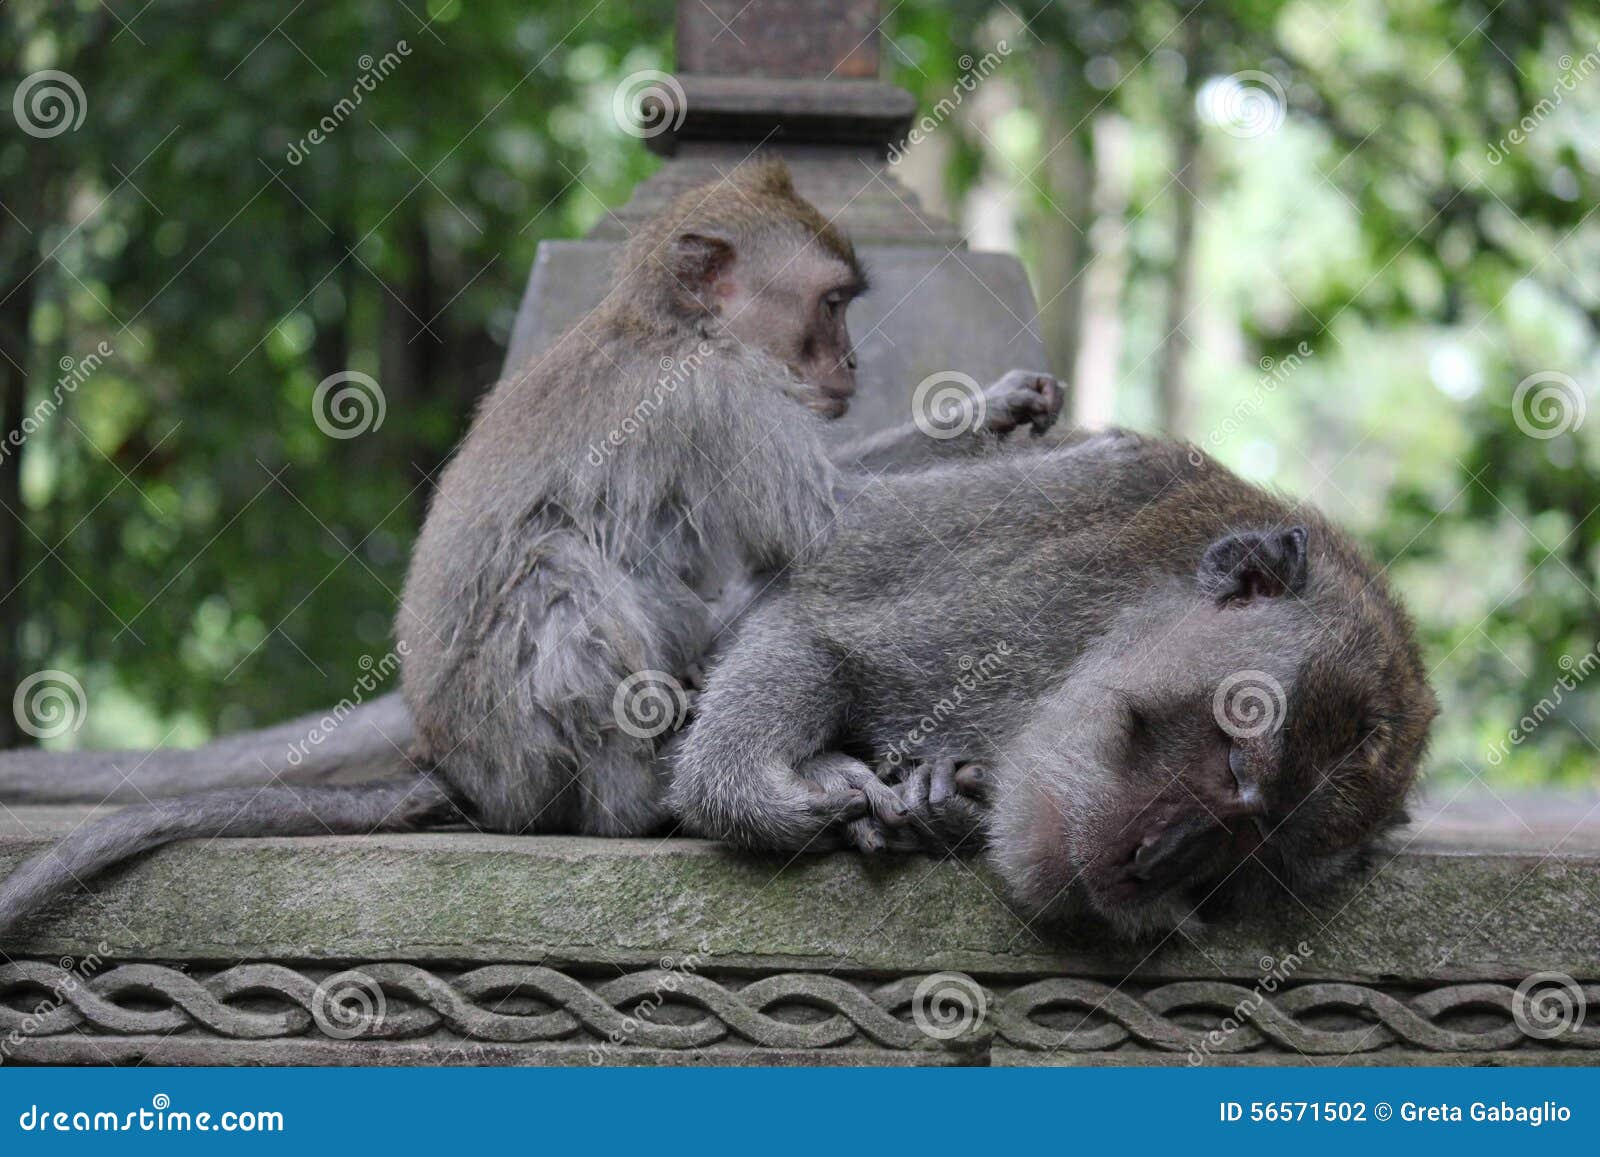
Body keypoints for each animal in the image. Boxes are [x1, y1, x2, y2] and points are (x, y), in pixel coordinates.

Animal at [0, 157, 1064, 934]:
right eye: (833, 304)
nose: (849, 363)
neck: (671, 327)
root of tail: (457, 766)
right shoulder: (716, 394)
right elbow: (828, 530)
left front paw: (994, 409)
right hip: (516, 744)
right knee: (561, 573)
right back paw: (648, 804)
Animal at [668, 430, 1437, 938]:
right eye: (1235, 764)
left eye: (1246, 855)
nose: (1150, 863)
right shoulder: (1021, 605)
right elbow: (813, 632)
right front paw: (761, 789)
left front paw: (956, 801)